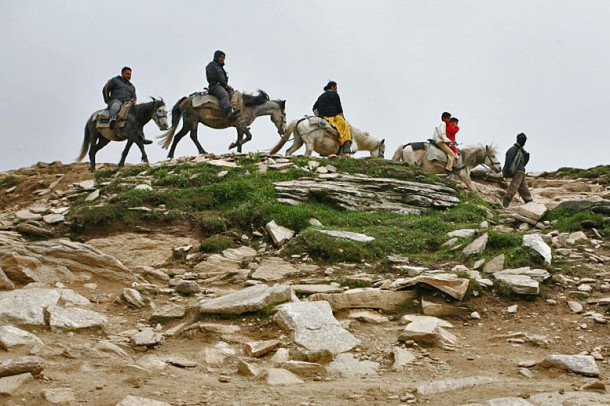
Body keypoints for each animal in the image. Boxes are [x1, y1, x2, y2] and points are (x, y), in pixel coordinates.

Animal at [159, 89, 288, 158]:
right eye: (284, 114)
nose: (284, 131)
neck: (249, 106)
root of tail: (184, 101)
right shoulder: (240, 124)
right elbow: (249, 137)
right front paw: (232, 145)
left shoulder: (239, 127)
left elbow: (242, 140)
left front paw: (237, 150)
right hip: (193, 120)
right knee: (193, 136)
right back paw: (203, 152)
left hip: (187, 123)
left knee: (177, 137)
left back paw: (170, 156)